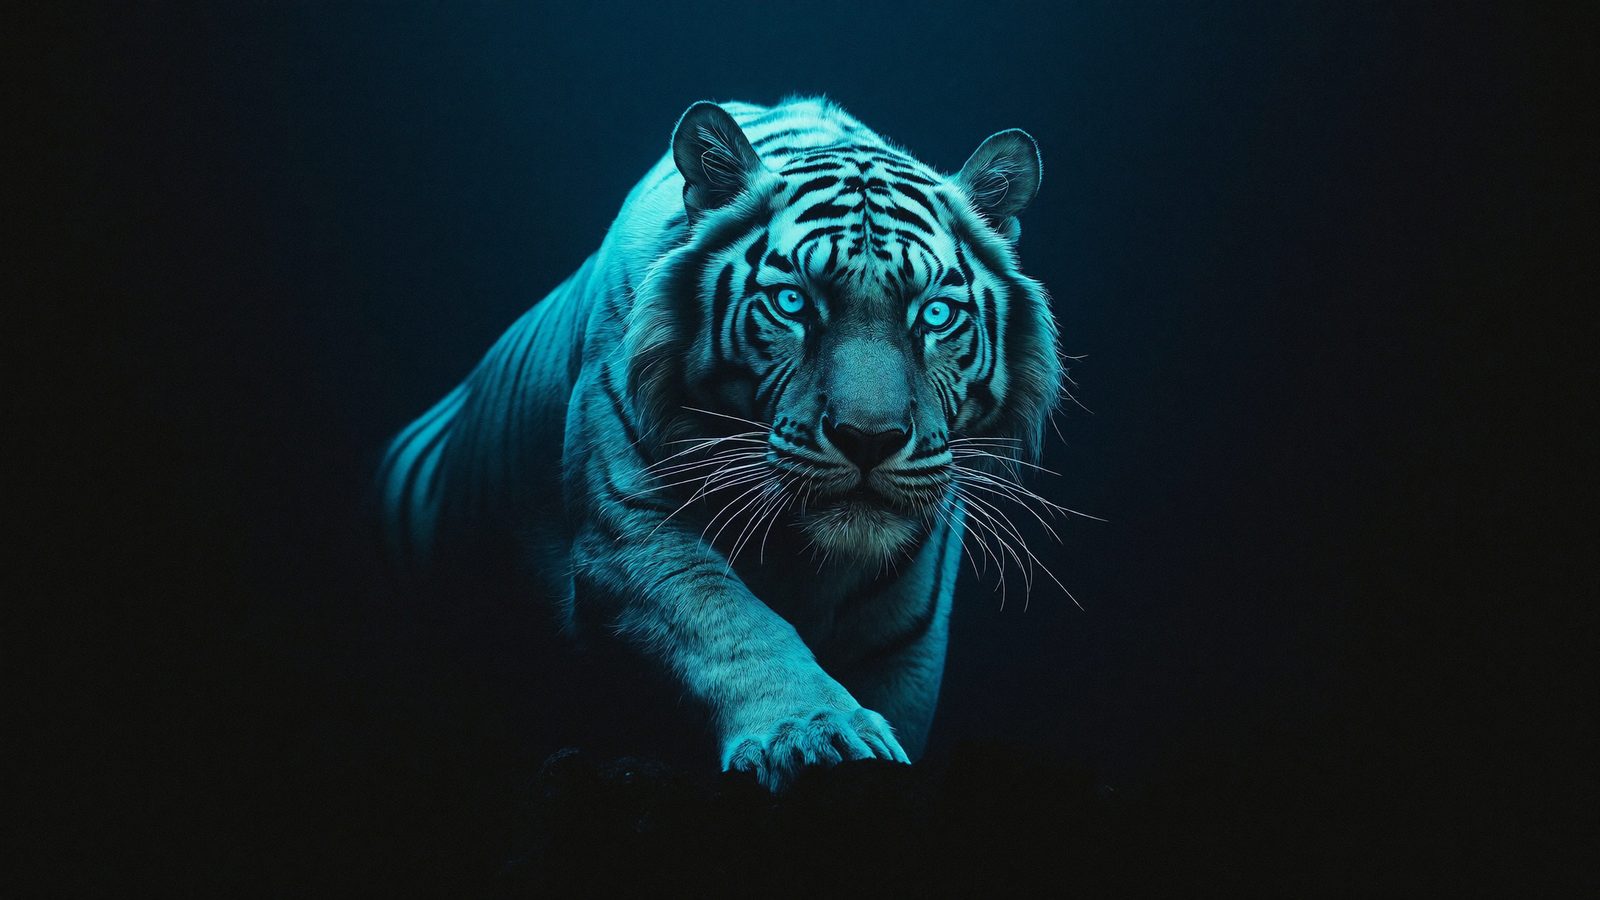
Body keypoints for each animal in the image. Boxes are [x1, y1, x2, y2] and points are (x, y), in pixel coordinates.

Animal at [378, 96, 1063, 791]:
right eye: (792, 303)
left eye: (935, 315)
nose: (869, 440)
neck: (802, 558)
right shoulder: (629, 533)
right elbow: (731, 619)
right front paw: (816, 735)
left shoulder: (905, 638)